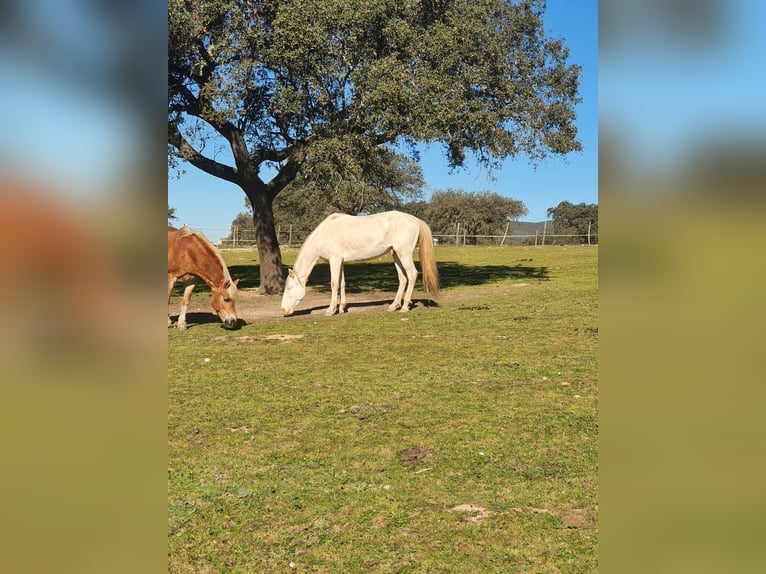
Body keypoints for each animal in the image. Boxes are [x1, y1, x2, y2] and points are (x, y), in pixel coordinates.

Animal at [282, 213, 440, 320]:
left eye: (289, 288)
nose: (283, 310)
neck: (325, 234)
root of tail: (416, 220)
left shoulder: (335, 260)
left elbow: (334, 284)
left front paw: (330, 310)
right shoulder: (340, 261)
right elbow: (342, 283)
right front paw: (341, 308)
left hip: (404, 254)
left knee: (412, 275)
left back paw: (405, 307)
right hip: (396, 255)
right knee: (403, 279)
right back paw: (394, 306)